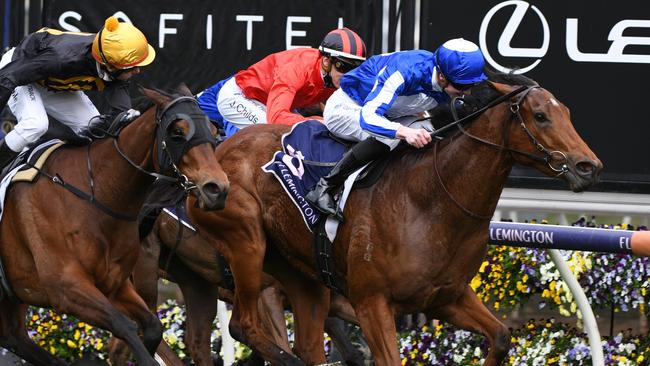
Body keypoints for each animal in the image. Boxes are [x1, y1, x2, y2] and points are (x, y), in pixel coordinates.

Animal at [0, 86, 230, 366]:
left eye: (213, 129)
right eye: (177, 132)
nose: (217, 188)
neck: (95, 195)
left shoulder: (116, 283)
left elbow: (152, 326)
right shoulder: (66, 288)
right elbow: (124, 325)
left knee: (15, 338)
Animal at [185, 75, 600, 366]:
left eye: (566, 113)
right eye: (541, 116)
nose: (588, 166)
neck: (430, 200)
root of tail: (216, 151)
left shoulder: (446, 296)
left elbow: (500, 336)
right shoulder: (372, 303)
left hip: (304, 275)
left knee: (306, 343)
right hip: (247, 241)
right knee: (243, 324)